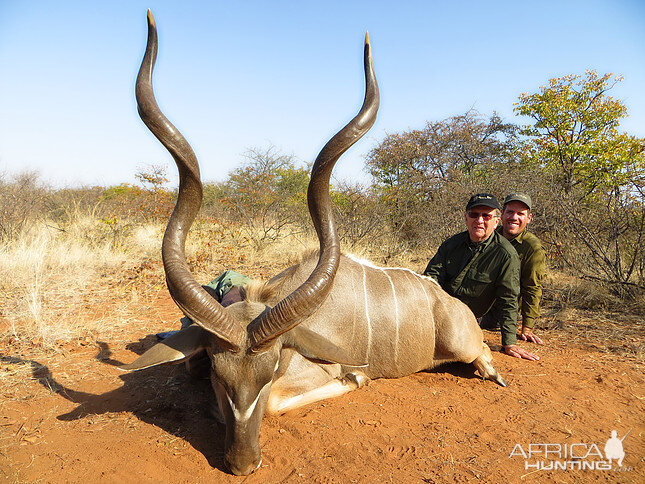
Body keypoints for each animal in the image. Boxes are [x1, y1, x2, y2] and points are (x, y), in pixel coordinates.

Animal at [122, 10, 508, 476]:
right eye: (218, 372)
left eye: (269, 372)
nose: (243, 463)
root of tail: (447, 302)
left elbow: (284, 400)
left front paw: (353, 378)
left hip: (462, 343)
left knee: (482, 353)